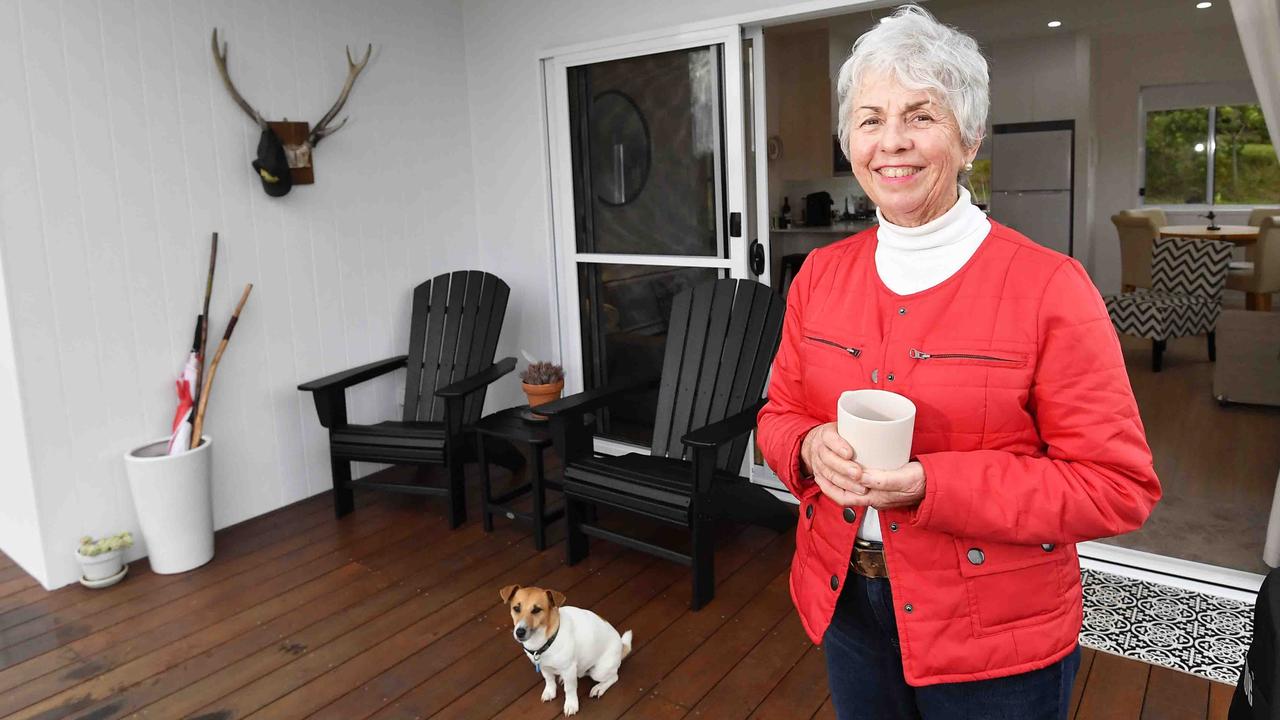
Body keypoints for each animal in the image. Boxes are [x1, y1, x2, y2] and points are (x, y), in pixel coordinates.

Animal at [504, 584, 634, 712]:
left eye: (536, 610)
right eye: (516, 608)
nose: (519, 632)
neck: (545, 640)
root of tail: (621, 646)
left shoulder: (568, 668)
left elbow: (570, 689)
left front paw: (571, 705)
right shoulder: (543, 667)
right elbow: (549, 680)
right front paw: (550, 692)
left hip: (599, 672)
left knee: (614, 677)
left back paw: (599, 688)